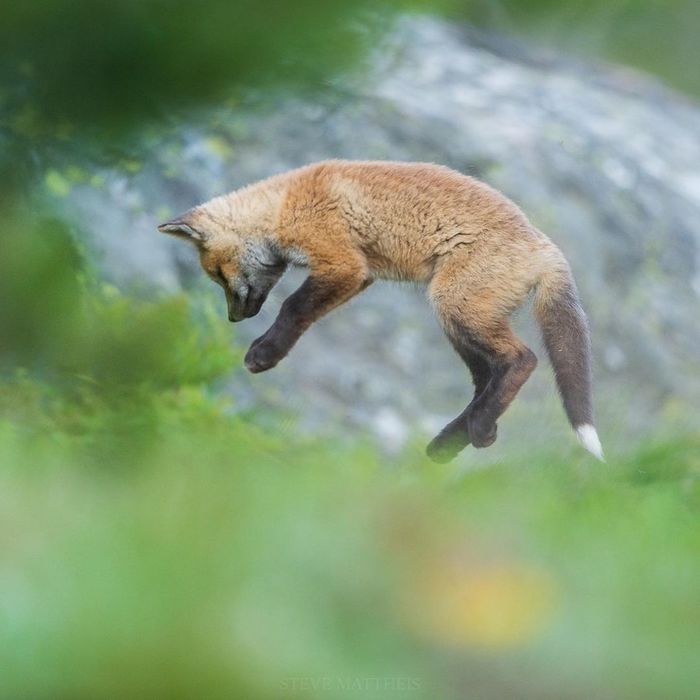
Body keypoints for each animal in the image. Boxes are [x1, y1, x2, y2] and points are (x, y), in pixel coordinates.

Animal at [159, 161, 600, 462]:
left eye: (218, 274)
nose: (234, 319)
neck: (284, 205)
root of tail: (545, 247)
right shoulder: (361, 275)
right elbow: (304, 310)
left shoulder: (343, 263)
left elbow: (293, 306)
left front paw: (264, 354)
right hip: (457, 318)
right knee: (486, 377)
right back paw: (460, 437)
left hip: (454, 305)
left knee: (521, 360)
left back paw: (471, 429)